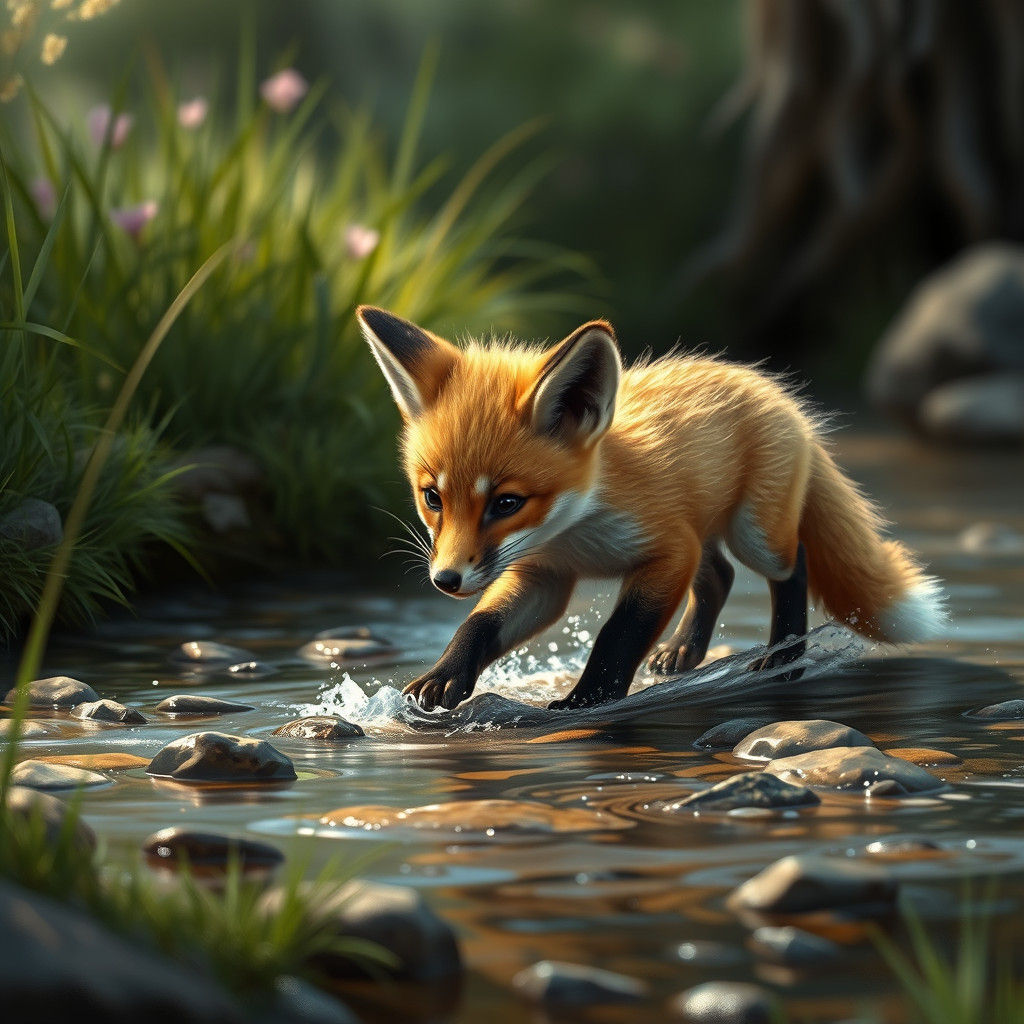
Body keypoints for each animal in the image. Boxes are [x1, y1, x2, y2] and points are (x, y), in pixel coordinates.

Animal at [357, 305, 947, 712]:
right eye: (433, 497)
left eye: (506, 502)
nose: (445, 580)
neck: (576, 533)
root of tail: (774, 392)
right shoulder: (542, 574)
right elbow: (479, 624)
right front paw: (445, 675)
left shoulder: (667, 550)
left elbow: (617, 635)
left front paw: (588, 699)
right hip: (711, 530)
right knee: (720, 575)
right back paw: (685, 651)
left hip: (755, 533)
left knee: (791, 563)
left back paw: (784, 656)